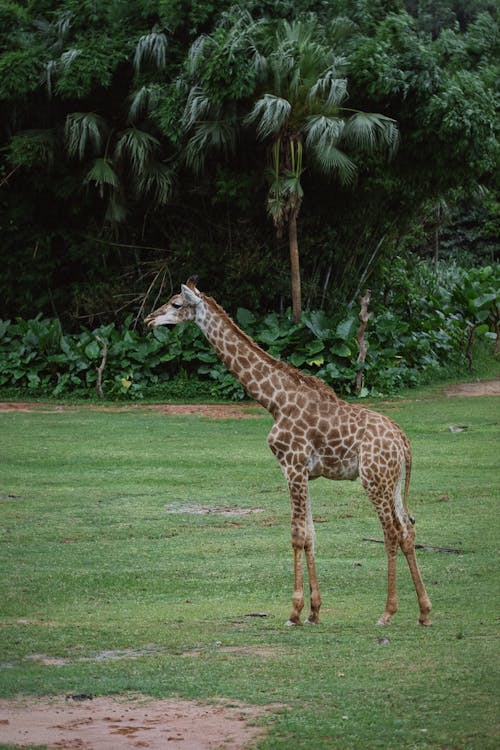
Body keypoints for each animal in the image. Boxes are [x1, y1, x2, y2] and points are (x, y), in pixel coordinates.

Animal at [145, 278, 434, 628]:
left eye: (176, 304)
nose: (148, 319)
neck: (274, 401)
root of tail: (404, 442)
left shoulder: (292, 465)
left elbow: (296, 534)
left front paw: (294, 612)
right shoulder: (305, 472)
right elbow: (311, 533)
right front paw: (314, 611)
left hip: (374, 479)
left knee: (390, 532)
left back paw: (387, 612)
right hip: (393, 482)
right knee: (407, 530)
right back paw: (424, 612)